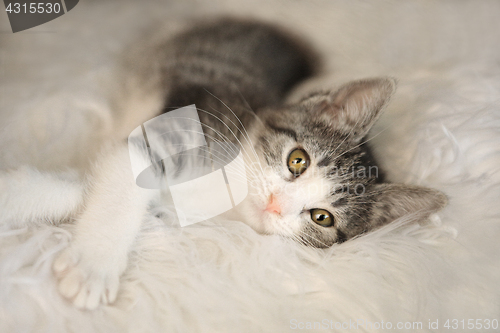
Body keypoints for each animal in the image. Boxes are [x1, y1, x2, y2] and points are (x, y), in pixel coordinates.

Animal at [0, 18, 446, 308]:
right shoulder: (172, 126)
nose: (275, 205)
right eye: (297, 160)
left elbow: (92, 185)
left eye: (322, 218)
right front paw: (92, 265)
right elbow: (119, 180)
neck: (226, 187)